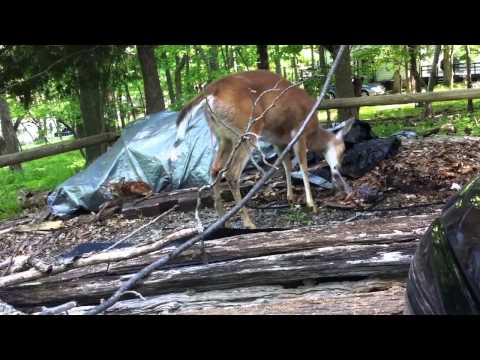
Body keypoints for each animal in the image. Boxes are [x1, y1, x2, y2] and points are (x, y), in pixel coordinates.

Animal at [176, 69, 352, 228]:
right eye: (343, 150)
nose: (339, 168)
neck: (313, 133)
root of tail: (212, 90)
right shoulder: (298, 132)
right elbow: (303, 166)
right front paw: (311, 204)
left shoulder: (278, 141)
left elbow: (286, 165)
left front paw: (290, 197)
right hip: (247, 130)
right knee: (232, 173)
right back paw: (248, 222)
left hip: (223, 137)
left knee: (215, 169)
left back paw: (222, 219)